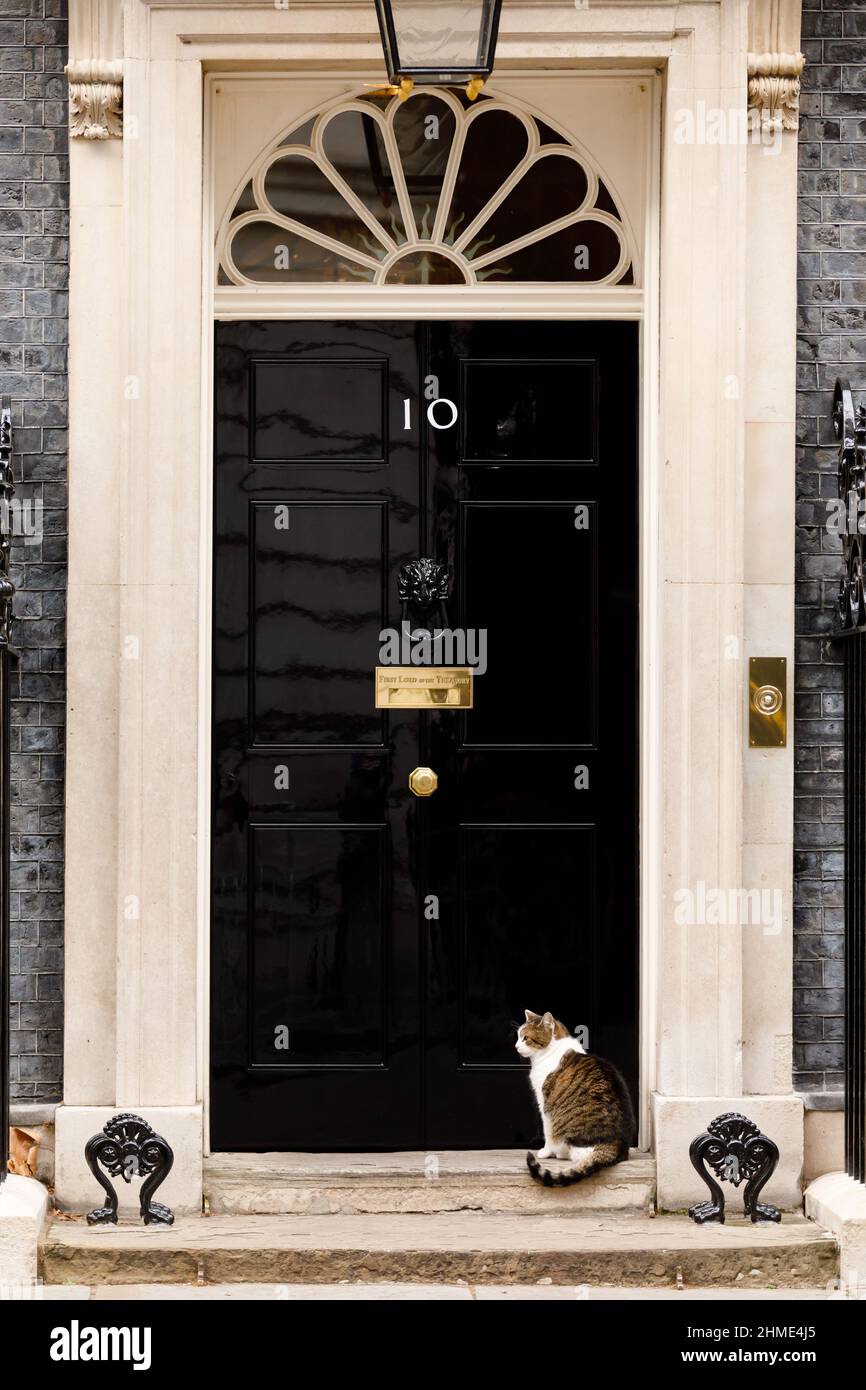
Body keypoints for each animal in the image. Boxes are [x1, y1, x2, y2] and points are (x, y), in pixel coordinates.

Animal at [517, 1006, 633, 1189]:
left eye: (525, 1038)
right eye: (517, 1036)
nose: (516, 1046)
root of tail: (616, 1145)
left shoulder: (545, 1105)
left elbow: (547, 1132)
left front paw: (545, 1152)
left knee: (579, 1155)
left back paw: (560, 1152)